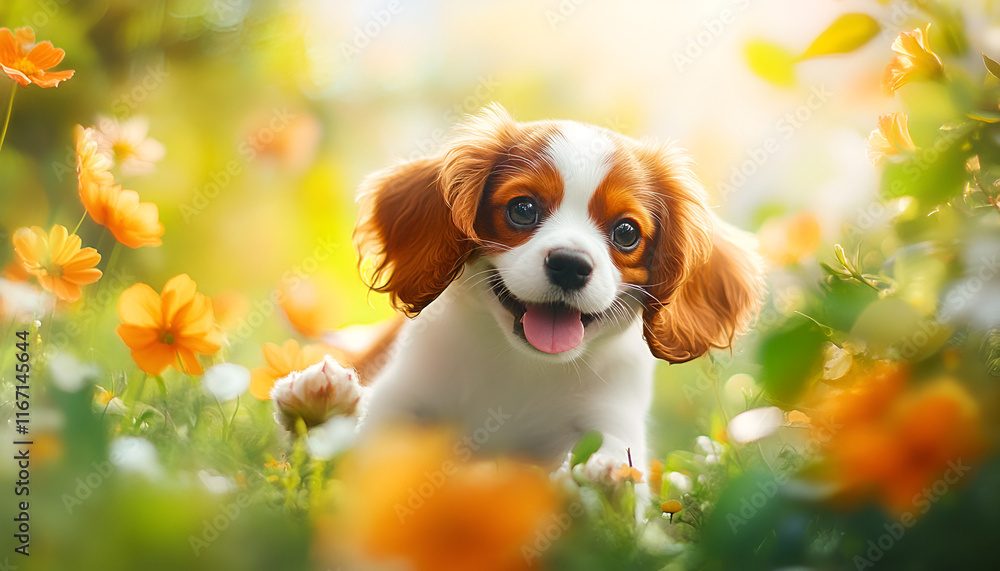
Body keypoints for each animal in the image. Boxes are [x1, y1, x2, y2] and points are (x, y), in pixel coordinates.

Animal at [348, 105, 760, 494]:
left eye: (626, 232)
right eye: (523, 209)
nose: (570, 265)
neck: (523, 364)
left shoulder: (615, 417)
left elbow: (614, 454)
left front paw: (604, 474)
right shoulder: (398, 395)